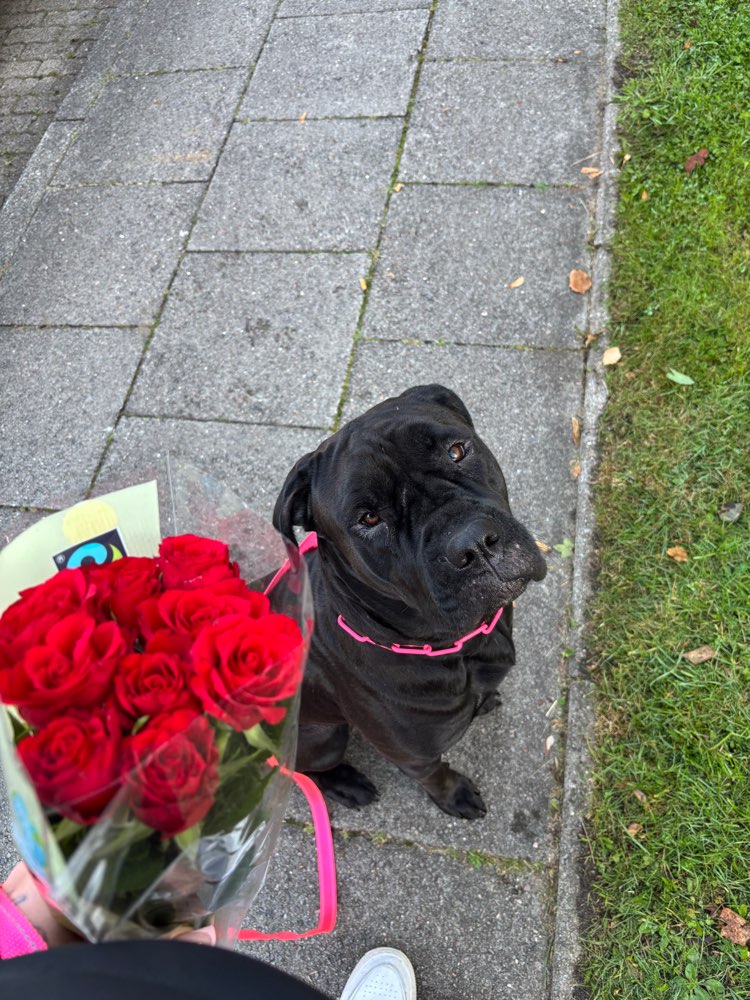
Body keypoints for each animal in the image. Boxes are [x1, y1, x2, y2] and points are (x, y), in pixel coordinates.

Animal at [274, 384, 548, 820]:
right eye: (368, 519)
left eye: (457, 451)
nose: (473, 543)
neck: (462, 648)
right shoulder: (414, 757)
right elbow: (435, 775)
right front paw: (454, 795)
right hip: (323, 737)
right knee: (306, 770)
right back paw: (347, 784)